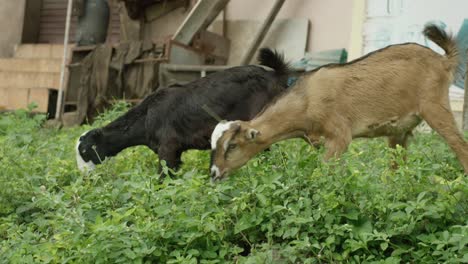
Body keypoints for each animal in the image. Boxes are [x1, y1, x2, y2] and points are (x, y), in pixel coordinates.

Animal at [76, 48, 288, 174]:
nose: (83, 176)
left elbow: (163, 176)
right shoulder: (175, 152)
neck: (146, 117)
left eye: (85, 151)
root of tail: (273, 74)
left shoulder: (168, 148)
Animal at [209, 24, 468, 180]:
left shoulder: (340, 135)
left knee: (461, 147)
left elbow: (322, 173)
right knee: (397, 166)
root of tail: (442, 60)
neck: (305, 101)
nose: (213, 173)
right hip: (399, 132)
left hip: (435, 107)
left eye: (232, 146)